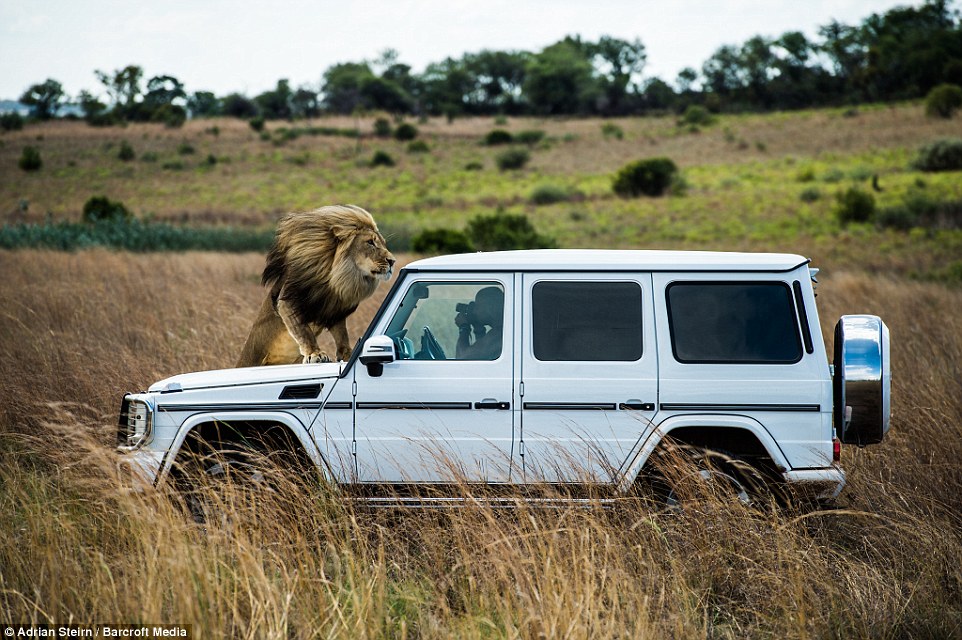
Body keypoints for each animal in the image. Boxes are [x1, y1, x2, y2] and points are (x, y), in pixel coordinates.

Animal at [236, 202, 394, 368]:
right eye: (370, 242)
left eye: (383, 243)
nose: (392, 261)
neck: (334, 280)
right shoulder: (288, 301)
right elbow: (303, 330)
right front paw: (315, 354)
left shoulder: (334, 311)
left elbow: (342, 335)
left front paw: (348, 355)